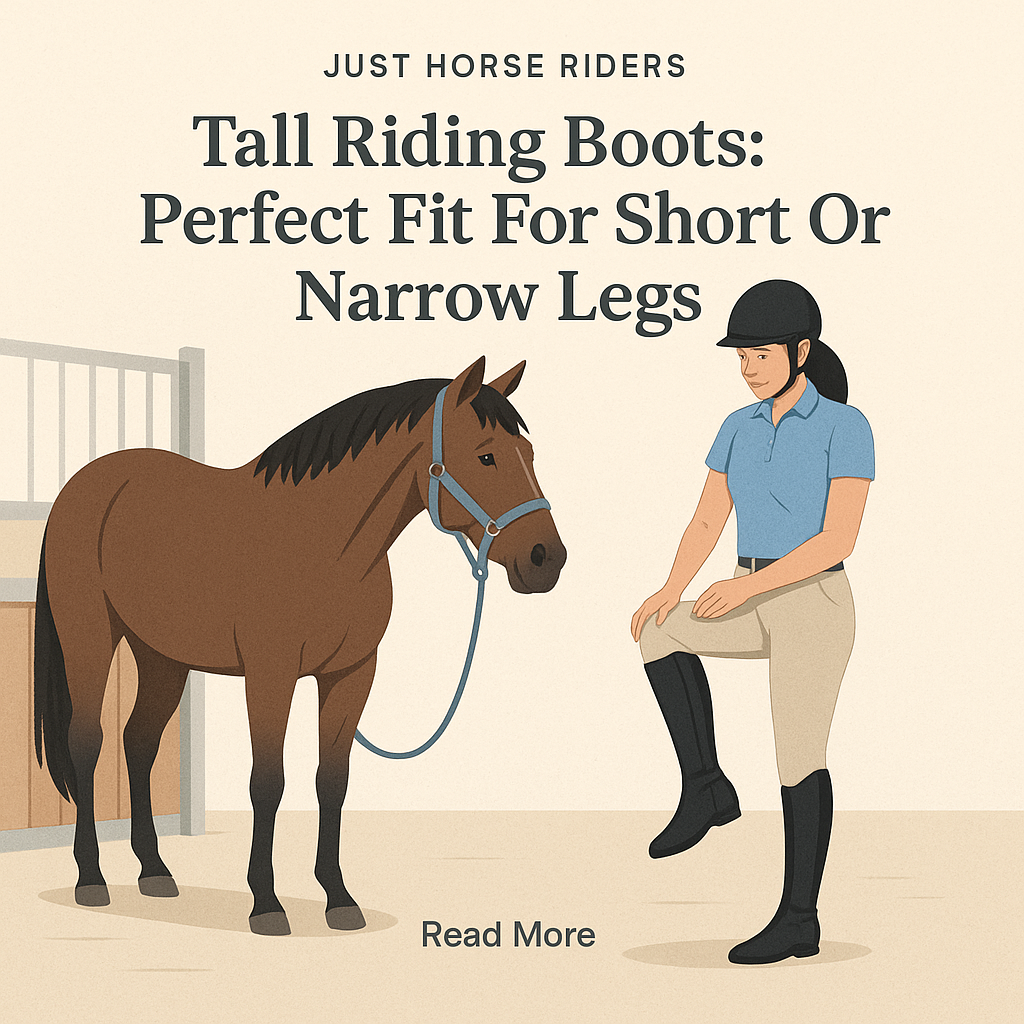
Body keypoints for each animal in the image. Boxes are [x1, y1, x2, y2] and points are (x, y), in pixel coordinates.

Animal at [33, 357, 566, 935]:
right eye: (486, 455)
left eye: (529, 454)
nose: (547, 558)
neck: (325, 544)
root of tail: (85, 482)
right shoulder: (272, 674)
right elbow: (268, 782)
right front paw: (266, 903)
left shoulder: (351, 673)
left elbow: (332, 781)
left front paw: (339, 898)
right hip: (90, 637)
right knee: (88, 742)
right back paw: (92, 879)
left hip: (162, 657)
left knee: (140, 742)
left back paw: (154, 871)